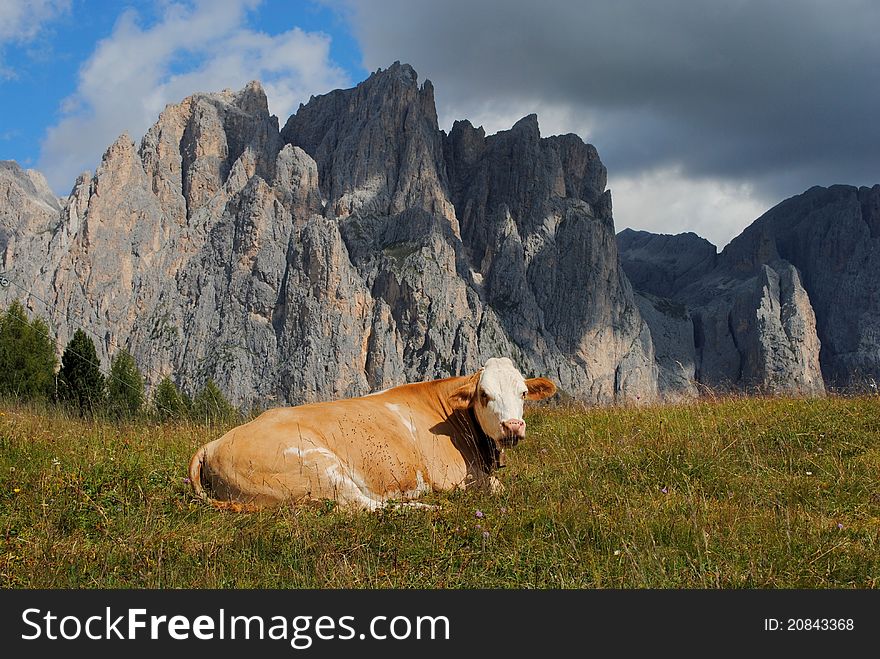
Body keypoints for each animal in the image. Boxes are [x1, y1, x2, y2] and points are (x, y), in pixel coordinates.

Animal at [187, 358, 556, 512]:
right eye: (484, 395)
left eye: (523, 393)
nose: (513, 426)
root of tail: (213, 443)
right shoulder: (451, 478)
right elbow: (498, 488)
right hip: (318, 466)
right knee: (358, 506)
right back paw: (425, 507)